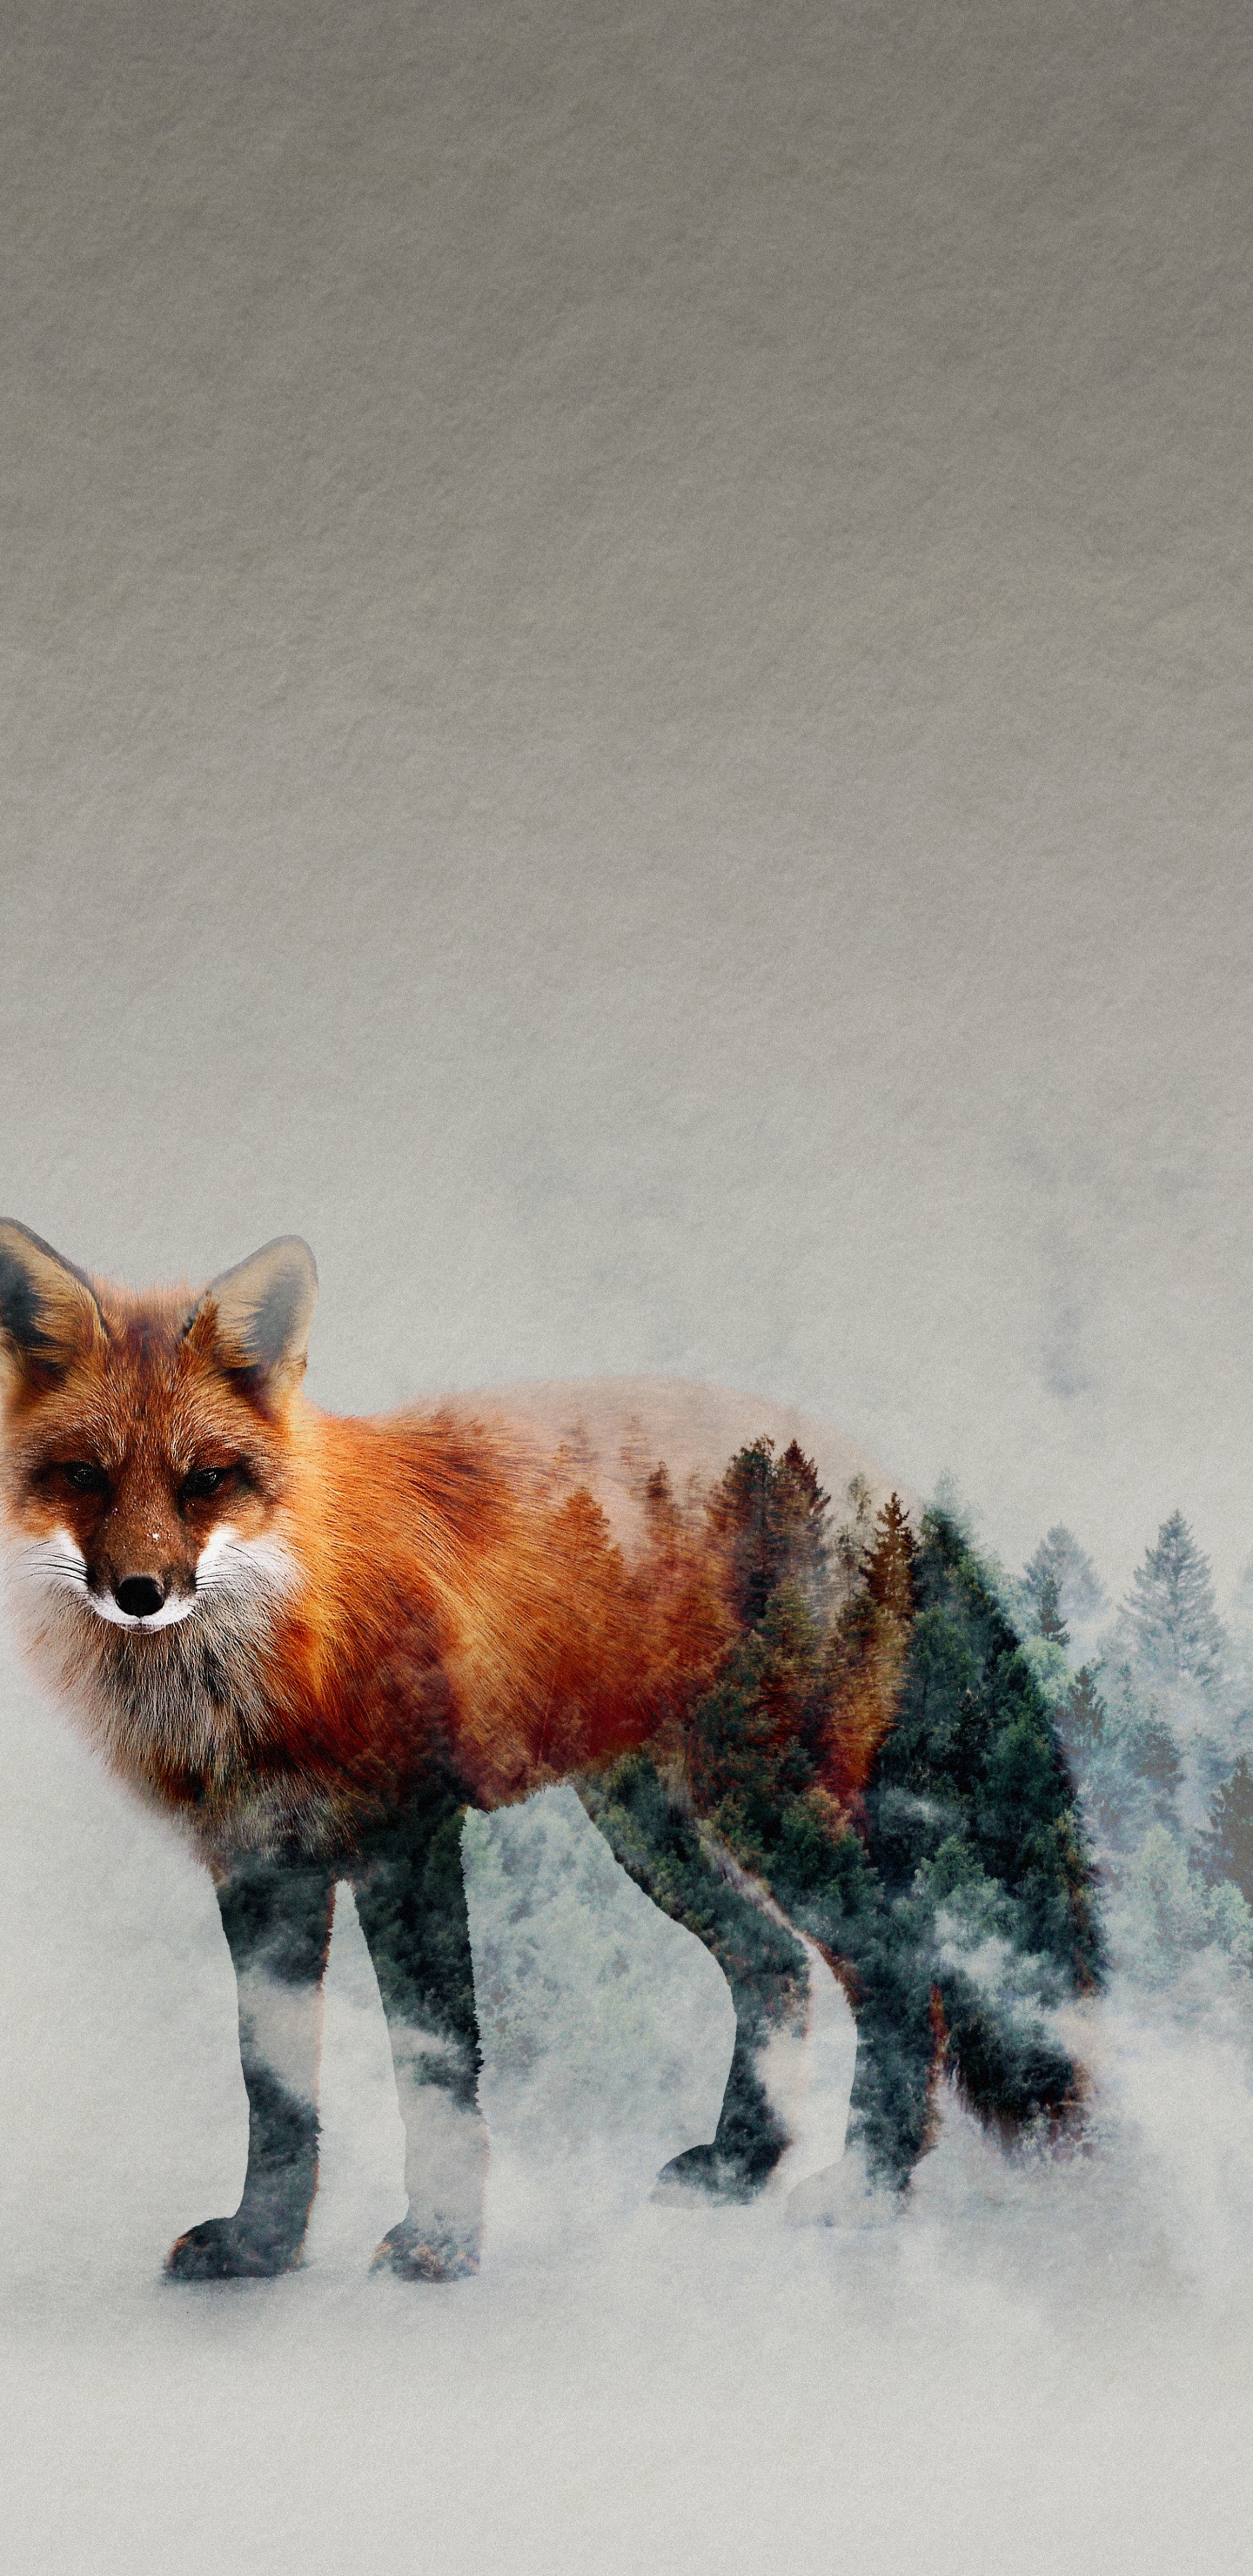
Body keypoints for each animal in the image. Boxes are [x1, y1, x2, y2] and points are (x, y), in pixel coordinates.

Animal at [0, 1221, 1099, 2283]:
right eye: (86, 1476)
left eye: (206, 1481)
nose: (140, 1593)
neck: (265, 1658)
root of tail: (883, 1479)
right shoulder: (259, 1869)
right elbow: (273, 2094)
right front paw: (263, 2246)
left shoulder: (409, 1840)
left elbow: (435, 2069)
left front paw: (442, 2242)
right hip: (653, 1827)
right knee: (774, 1964)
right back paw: (744, 2161)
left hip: (771, 1807)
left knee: (903, 1969)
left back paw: (871, 2183)